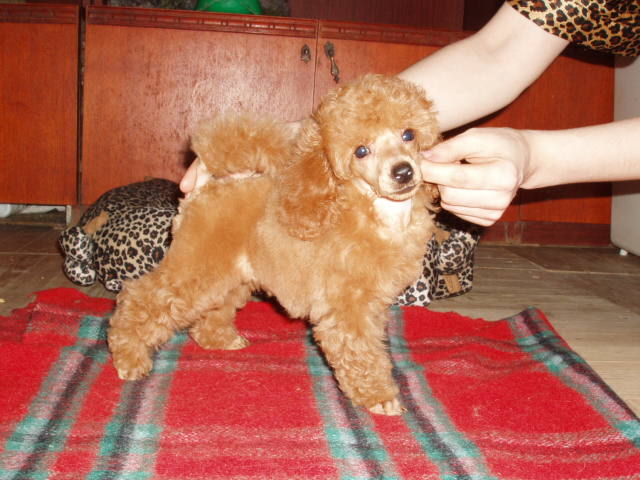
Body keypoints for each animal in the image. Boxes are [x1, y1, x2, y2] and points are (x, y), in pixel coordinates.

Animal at [108, 74, 441, 415]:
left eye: (408, 135)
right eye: (361, 151)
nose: (403, 171)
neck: (378, 212)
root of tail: (209, 185)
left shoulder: (371, 304)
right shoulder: (347, 307)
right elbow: (361, 353)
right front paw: (379, 398)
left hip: (229, 273)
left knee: (211, 309)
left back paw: (219, 339)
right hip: (195, 265)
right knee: (141, 298)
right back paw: (129, 355)